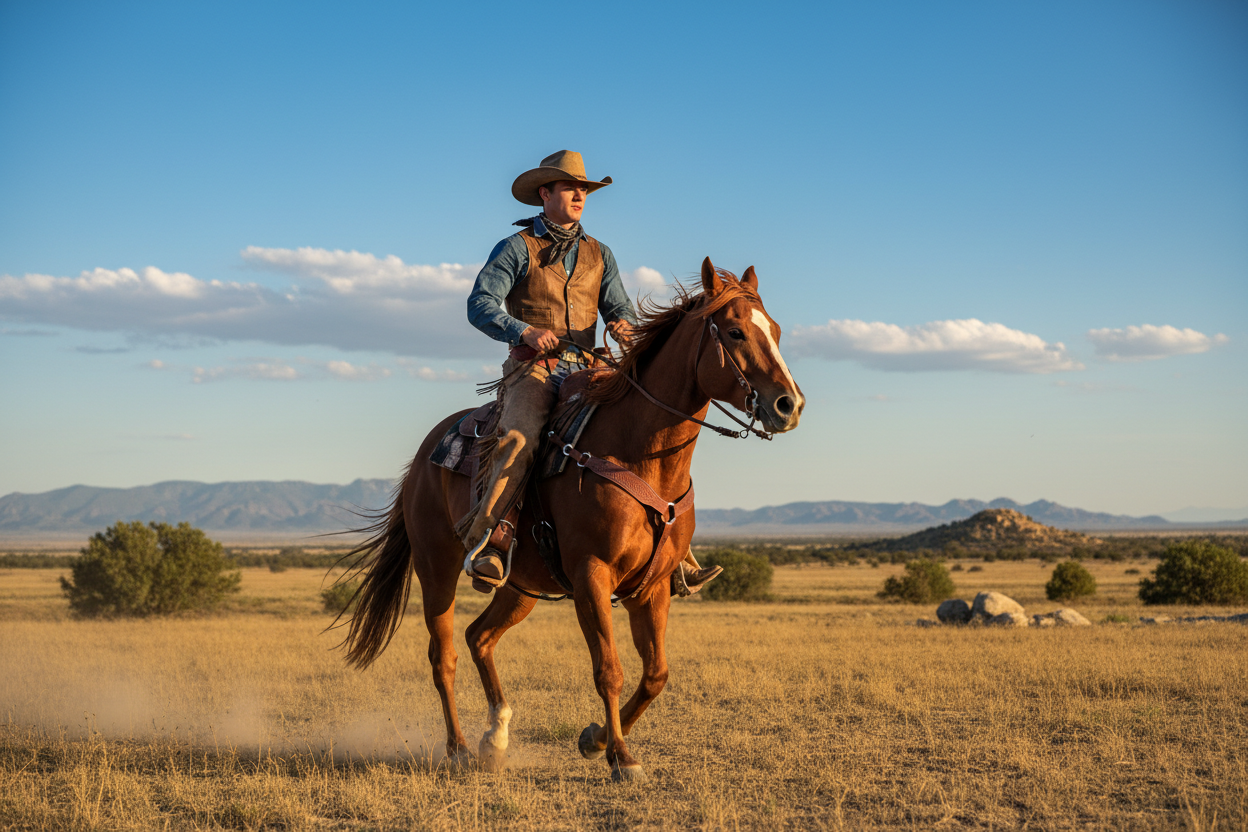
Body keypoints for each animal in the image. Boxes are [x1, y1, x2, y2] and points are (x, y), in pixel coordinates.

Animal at [338, 257, 804, 782]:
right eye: (736, 331)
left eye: (776, 331)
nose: (789, 404)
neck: (637, 453)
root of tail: (423, 456)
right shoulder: (591, 576)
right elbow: (610, 669)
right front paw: (621, 756)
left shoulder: (653, 586)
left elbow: (655, 674)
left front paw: (595, 739)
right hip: (436, 565)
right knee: (445, 655)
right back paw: (458, 748)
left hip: (522, 586)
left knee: (480, 637)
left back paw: (495, 737)